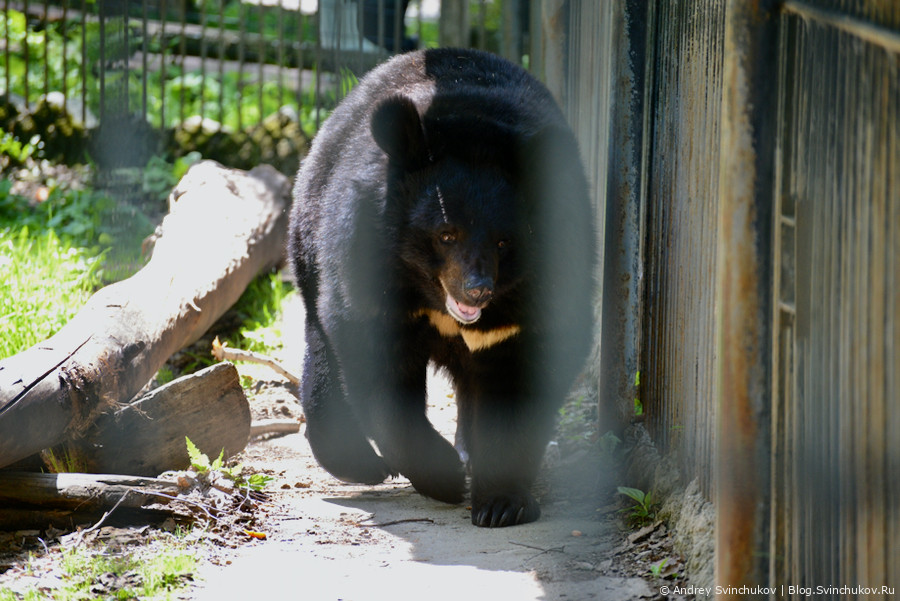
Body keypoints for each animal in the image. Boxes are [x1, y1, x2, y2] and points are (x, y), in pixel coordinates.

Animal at [290, 48, 596, 524]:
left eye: (504, 241)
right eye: (446, 234)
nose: (477, 289)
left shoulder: (543, 290)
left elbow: (523, 383)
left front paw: (500, 503)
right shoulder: (367, 266)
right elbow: (381, 377)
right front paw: (444, 477)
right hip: (312, 240)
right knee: (323, 349)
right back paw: (360, 463)